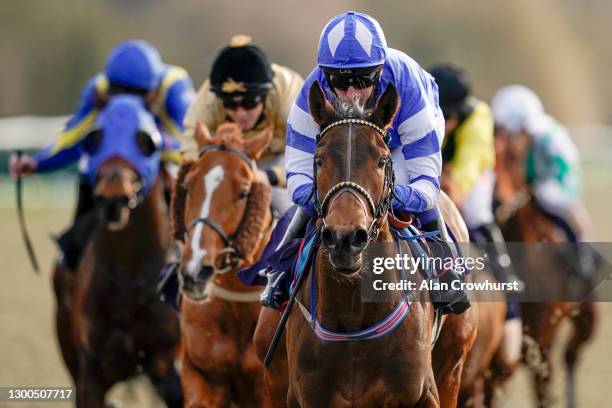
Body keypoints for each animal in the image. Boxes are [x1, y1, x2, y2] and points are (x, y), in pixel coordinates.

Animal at [51, 96, 182, 408]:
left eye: (145, 141)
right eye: (94, 138)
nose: (114, 197)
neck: (128, 275)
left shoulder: (167, 356)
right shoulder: (92, 372)